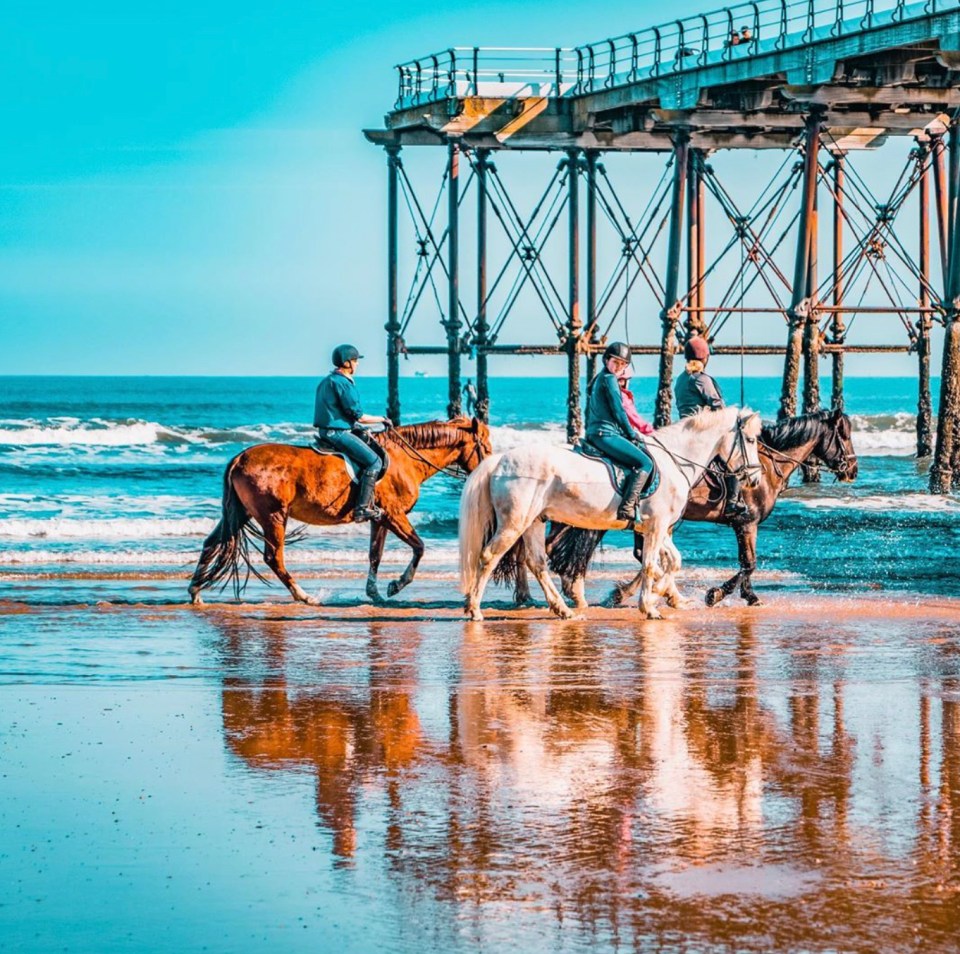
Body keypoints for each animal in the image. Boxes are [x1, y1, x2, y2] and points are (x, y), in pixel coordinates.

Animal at [188, 416, 492, 604]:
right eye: (486, 447)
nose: (488, 470)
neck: (403, 458)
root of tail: (240, 458)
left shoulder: (380, 520)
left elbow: (375, 555)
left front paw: (374, 592)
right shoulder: (394, 515)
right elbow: (419, 547)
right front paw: (396, 585)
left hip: (242, 513)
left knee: (213, 543)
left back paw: (195, 590)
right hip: (273, 516)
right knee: (274, 558)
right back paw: (304, 596)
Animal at [462, 408, 760, 616]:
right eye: (751, 439)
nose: (755, 479)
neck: (675, 460)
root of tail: (500, 460)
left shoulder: (657, 528)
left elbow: (672, 561)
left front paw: (661, 595)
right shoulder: (657, 526)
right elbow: (652, 564)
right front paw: (649, 604)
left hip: (534, 521)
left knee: (537, 562)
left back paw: (564, 610)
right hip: (514, 522)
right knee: (490, 556)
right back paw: (474, 609)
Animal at [536, 406, 860, 608]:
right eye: (844, 435)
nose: (852, 470)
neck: (767, 466)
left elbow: (746, 564)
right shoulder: (746, 523)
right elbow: (749, 563)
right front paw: (719, 594)